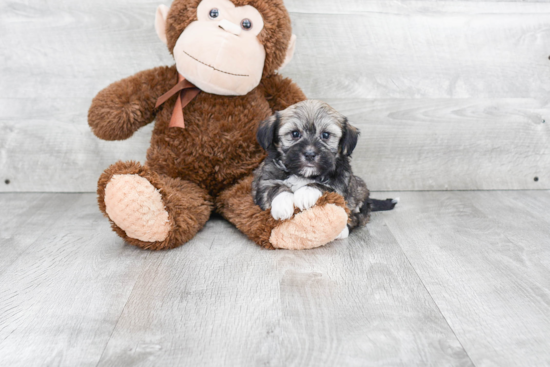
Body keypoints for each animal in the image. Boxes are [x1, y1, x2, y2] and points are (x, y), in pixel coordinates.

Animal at [252, 99, 398, 240]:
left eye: (326, 135)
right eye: (295, 134)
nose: (310, 154)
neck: (304, 175)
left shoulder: (340, 184)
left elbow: (324, 186)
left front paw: (305, 193)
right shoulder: (265, 178)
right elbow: (274, 187)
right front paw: (282, 205)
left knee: (357, 217)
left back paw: (342, 230)